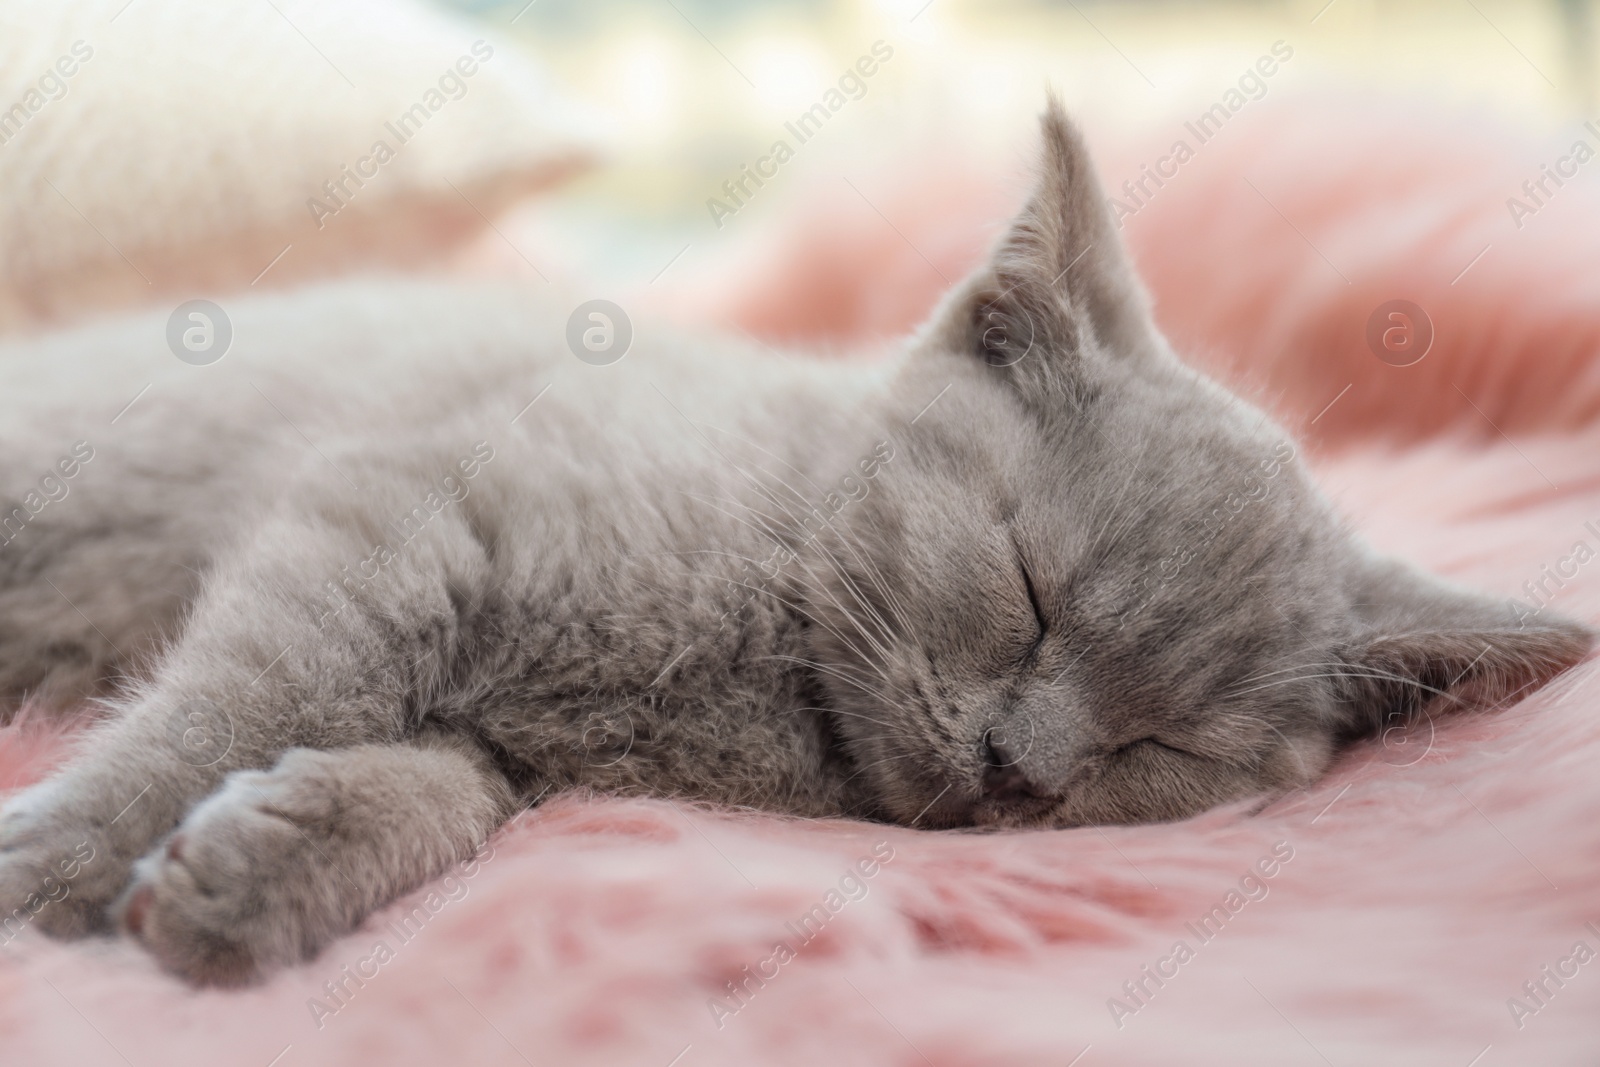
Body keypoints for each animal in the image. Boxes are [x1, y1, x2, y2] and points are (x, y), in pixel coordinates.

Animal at [0, 102, 1587, 985]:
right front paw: (57, 862)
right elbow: (241, 699)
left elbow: (453, 792)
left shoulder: (503, 725)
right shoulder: (397, 503)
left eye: (1164, 747)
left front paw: (254, 872)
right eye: (1030, 590)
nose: (1020, 767)